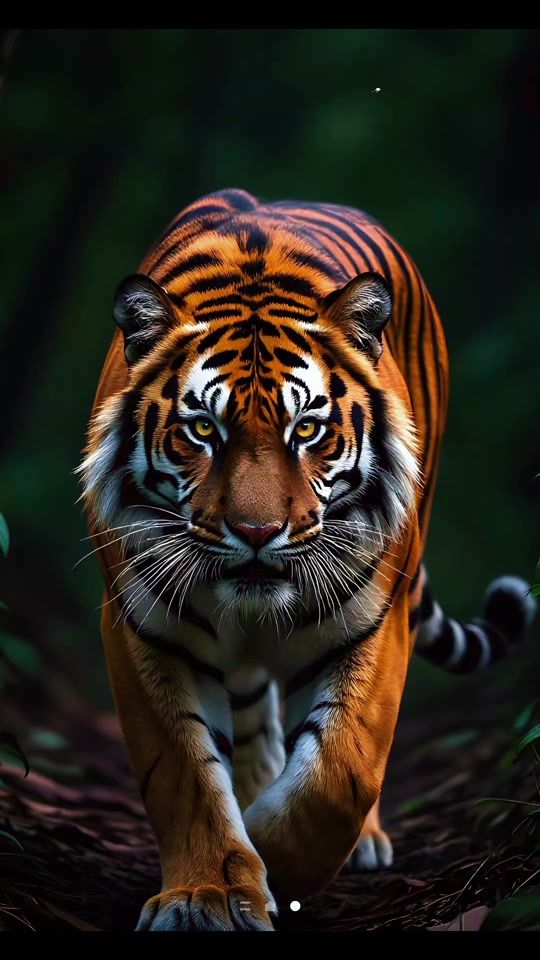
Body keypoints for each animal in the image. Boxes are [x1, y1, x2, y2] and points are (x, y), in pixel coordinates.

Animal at [79, 188, 536, 931]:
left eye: (309, 429)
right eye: (202, 429)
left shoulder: (373, 620)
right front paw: (206, 896)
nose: (257, 531)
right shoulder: (142, 625)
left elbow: (337, 774)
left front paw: (272, 859)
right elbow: (183, 772)